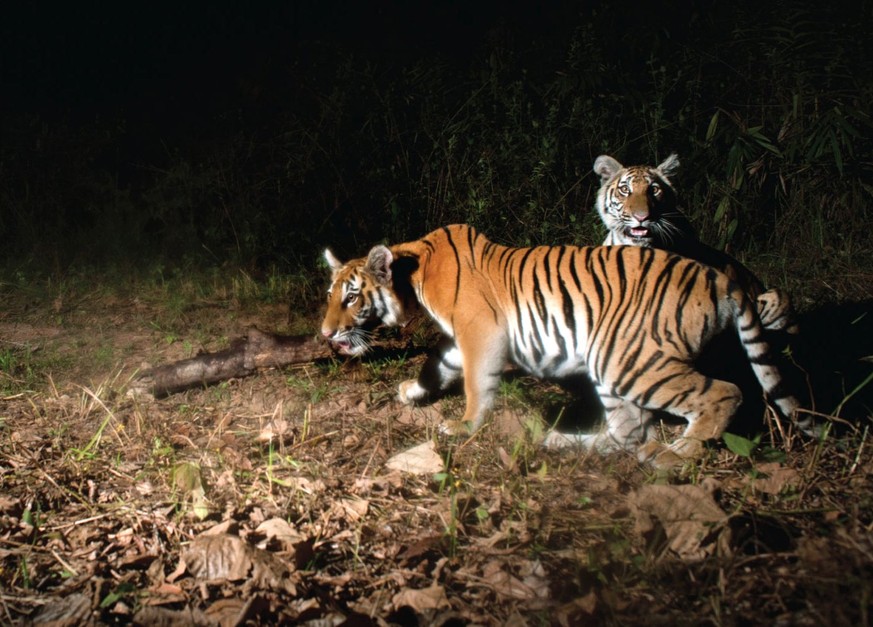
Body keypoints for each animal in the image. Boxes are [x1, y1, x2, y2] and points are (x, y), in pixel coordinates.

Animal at [322, 224, 816, 466]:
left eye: (352, 297)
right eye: (330, 294)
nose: (325, 335)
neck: (414, 272)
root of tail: (722, 278)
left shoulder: (480, 330)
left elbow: (476, 384)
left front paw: (464, 427)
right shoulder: (460, 338)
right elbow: (437, 364)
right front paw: (412, 392)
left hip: (630, 361)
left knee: (722, 394)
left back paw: (674, 456)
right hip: (612, 364)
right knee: (627, 431)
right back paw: (558, 441)